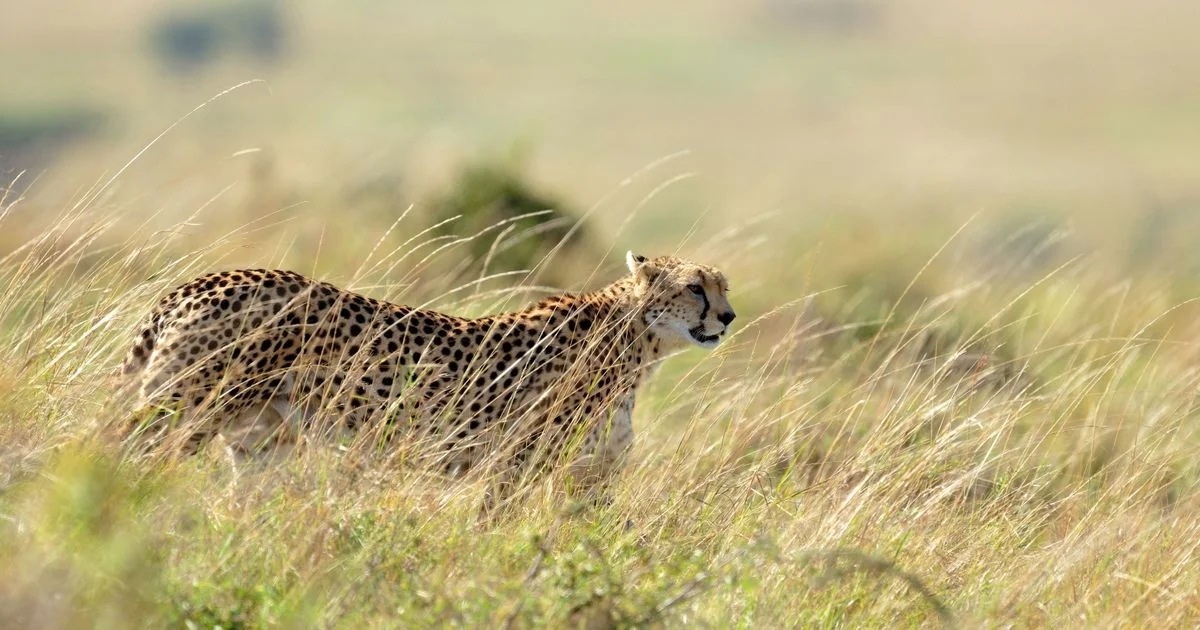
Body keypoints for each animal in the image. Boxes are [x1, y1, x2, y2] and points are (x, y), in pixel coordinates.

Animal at [119, 251, 735, 508]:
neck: (638, 341)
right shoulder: (515, 464)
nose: (729, 317)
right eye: (695, 287)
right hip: (183, 415)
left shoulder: (591, 475)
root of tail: (208, 278)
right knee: (122, 458)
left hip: (259, 441)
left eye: (722, 285)